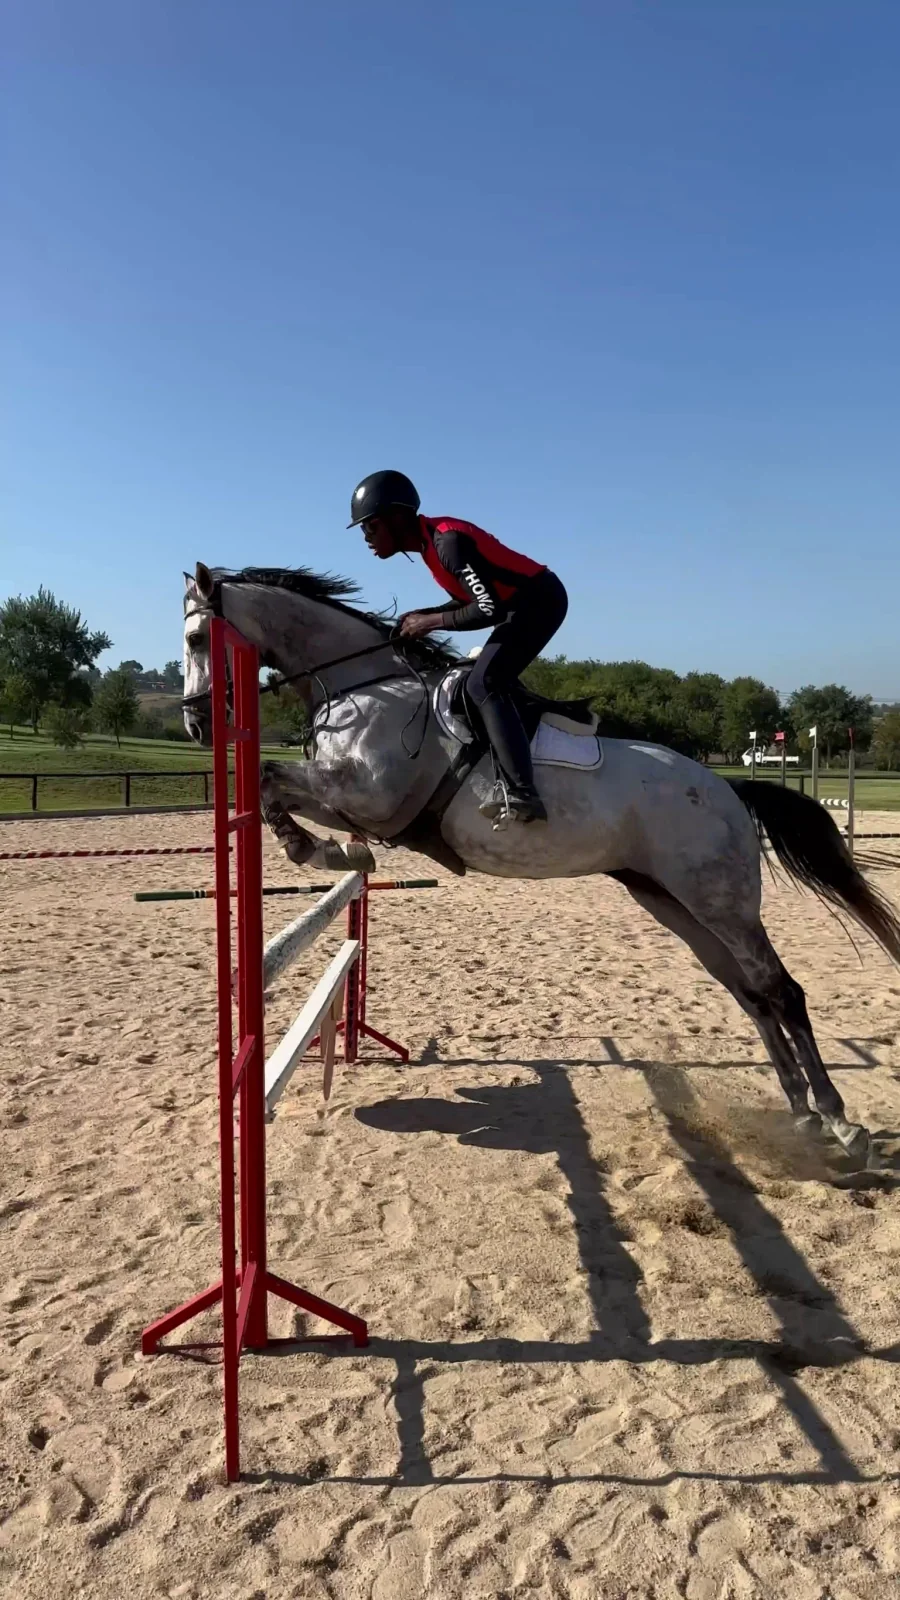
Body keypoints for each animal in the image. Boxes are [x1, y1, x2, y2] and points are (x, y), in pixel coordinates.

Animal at [182, 562, 900, 1165]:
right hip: (673, 902)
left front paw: (314, 848)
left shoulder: (367, 798)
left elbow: (274, 781)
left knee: (782, 989)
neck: (368, 688)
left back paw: (841, 1123)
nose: (196, 726)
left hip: (722, 903)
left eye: (194, 637)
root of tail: (727, 788)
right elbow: (273, 783)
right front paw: (320, 848)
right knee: (750, 994)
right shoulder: (347, 797)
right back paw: (802, 1115)